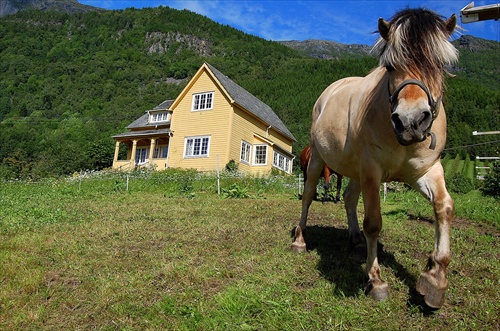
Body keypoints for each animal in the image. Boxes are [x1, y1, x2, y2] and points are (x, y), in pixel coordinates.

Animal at [292, 7, 458, 310]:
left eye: (440, 64)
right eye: (390, 66)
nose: (410, 121)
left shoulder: (426, 170)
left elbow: (444, 208)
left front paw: (435, 278)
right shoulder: (372, 170)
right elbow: (374, 222)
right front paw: (376, 280)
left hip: (355, 170)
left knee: (348, 197)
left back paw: (355, 238)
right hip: (319, 160)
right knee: (308, 195)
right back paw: (300, 240)